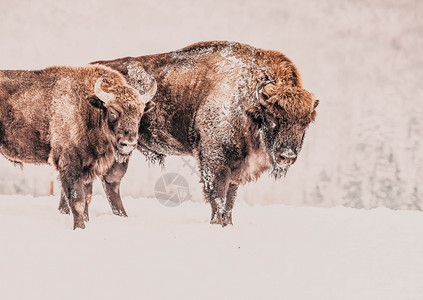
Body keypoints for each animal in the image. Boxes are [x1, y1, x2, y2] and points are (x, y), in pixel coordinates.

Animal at [0, 63, 156, 230]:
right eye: (113, 112)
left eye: (140, 114)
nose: (129, 143)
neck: (89, 109)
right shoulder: (70, 165)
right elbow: (77, 201)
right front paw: (80, 228)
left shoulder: (88, 167)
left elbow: (87, 198)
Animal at [60, 41, 318, 226]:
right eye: (273, 118)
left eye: (305, 123)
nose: (287, 156)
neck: (248, 102)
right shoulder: (214, 161)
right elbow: (218, 197)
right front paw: (218, 224)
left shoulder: (236, 168)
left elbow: (230, 200)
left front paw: (229, 224)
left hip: (123, 150)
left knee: (110, 180)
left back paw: (118, 217)